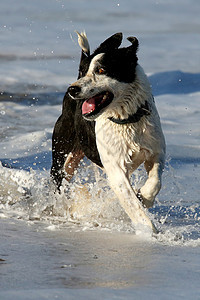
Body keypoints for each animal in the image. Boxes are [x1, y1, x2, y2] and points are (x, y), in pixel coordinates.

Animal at [51, 32, 166, 233]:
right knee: (58, 178)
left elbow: (155, 181)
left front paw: (144, 196)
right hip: (61, 150)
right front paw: (148, 230)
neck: (127, 119)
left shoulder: (156, 151)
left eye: (101, 70)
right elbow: (132, 203)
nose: (72, 89)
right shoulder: (116, 169)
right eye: (84, 71)